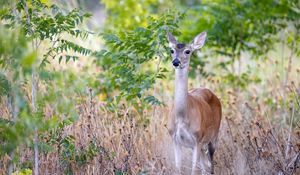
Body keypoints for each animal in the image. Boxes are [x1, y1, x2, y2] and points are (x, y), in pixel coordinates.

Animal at [168, 31, 221, 174]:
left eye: (187, 51)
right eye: (171, 50)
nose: (176, 62)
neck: (182, 116)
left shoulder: (197, 138)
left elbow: (193, 170)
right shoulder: (175, 139)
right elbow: (178, 168)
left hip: (213, 135)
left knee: (211, 165)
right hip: (201, 145)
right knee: (204, 166)